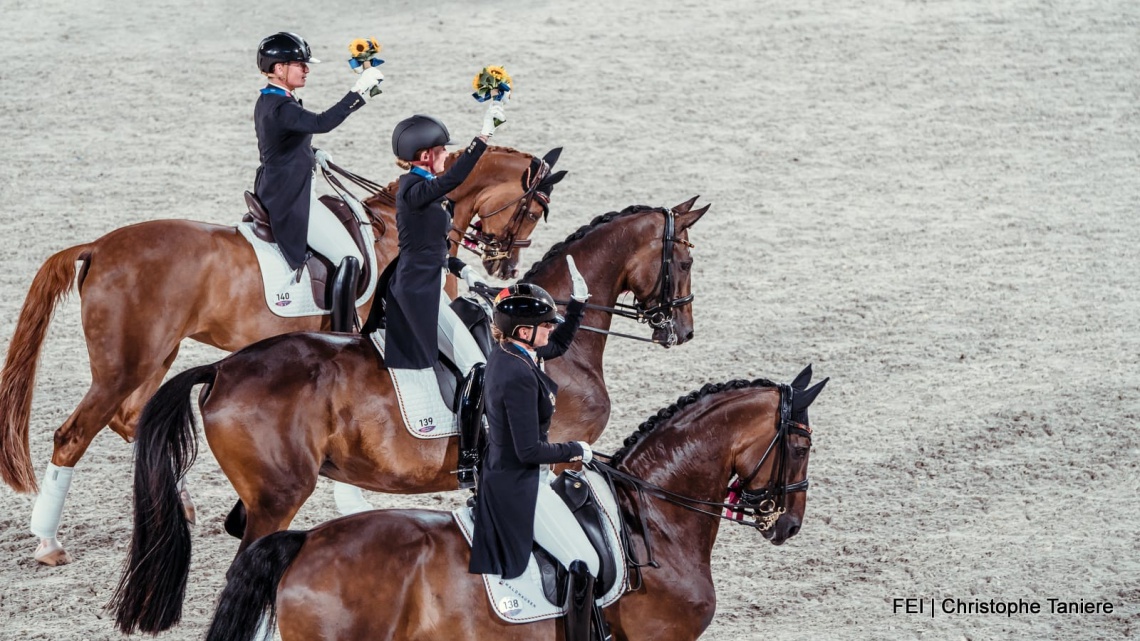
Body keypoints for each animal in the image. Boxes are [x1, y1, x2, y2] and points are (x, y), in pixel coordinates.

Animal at [0, 144, 565, 563]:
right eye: (534, 209)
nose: (503, 267)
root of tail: (97, 246)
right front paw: (352, 494)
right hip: (124, 365)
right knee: (73, 436)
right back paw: (48, 542)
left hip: (155, 357)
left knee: (130, 417)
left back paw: (179, 504)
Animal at [111, 198, 706, 634]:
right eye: (685, 261)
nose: (683, 332)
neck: (555, 348)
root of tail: (222, 369)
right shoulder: (556, 458)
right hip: (279, 495)